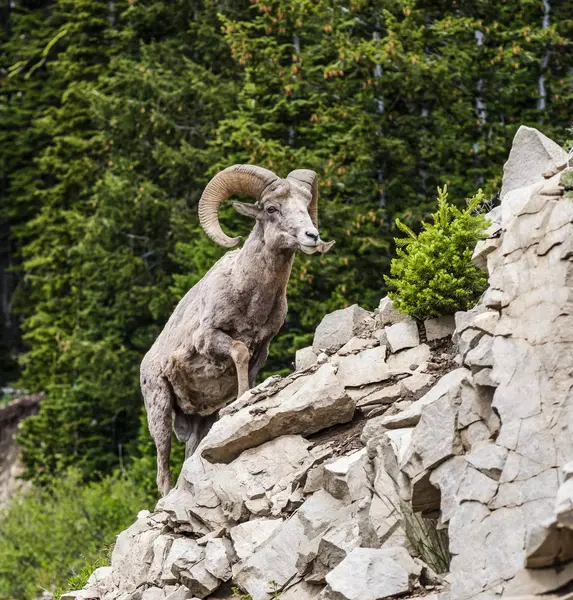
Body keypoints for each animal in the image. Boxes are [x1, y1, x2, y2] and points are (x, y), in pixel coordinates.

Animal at [140, 163, 332, 492]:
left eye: (306, 204)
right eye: (271, 208)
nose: (312, 236)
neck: (249, 294)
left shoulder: (263, 348)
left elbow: (251, 372)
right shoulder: (210, 338)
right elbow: (239, 352)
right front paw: (242, 398)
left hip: (200, 422)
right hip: (160, 411)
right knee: (163, 477)